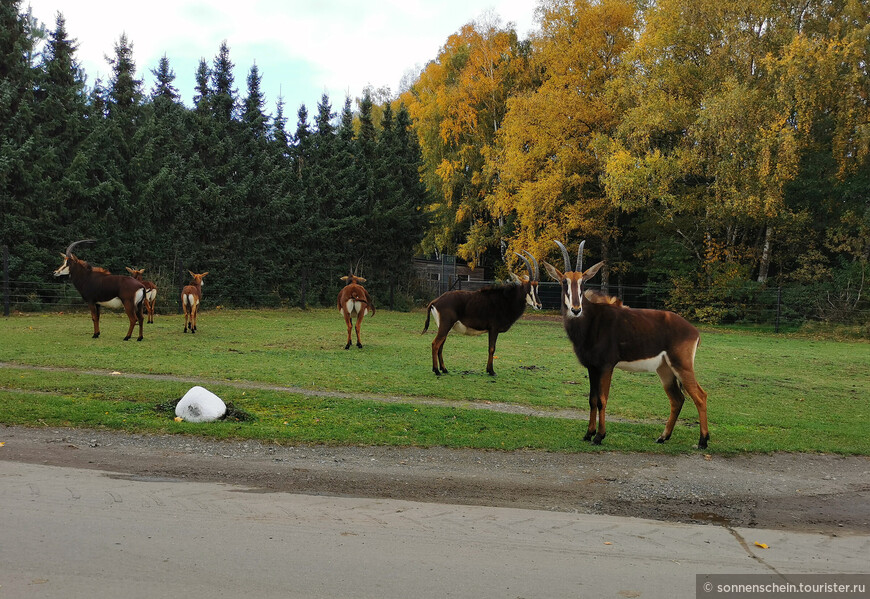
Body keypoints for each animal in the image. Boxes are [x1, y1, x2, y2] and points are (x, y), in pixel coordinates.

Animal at [548, 241, 712, 448]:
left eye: (583, 282)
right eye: (564, 282)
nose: (576, 309)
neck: (592, 319)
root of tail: (693, 331)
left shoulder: (606, 366)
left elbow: (602, 399)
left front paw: (599, 436)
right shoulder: (592, 367)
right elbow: (592, 399)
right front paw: (588, 434)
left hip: (682, 366)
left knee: (700, 396)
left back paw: (703, 441)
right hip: (665, 370)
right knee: (677, 399)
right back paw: (663, 437)